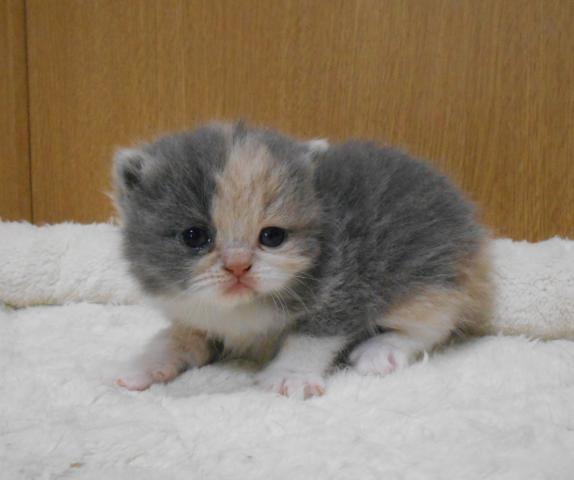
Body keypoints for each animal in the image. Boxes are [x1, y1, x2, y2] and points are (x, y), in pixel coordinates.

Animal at [113, 121, 492, 399]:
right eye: (194, 236)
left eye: (272, 237)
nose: (238, 266)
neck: (241, 309)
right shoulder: (195, 314)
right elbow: (177, 338)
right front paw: (146, 363)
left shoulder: (345, 286)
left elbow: (312, 336)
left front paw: (289, 375)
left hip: (427, 274)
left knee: (434, 324)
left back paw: (381, 349)